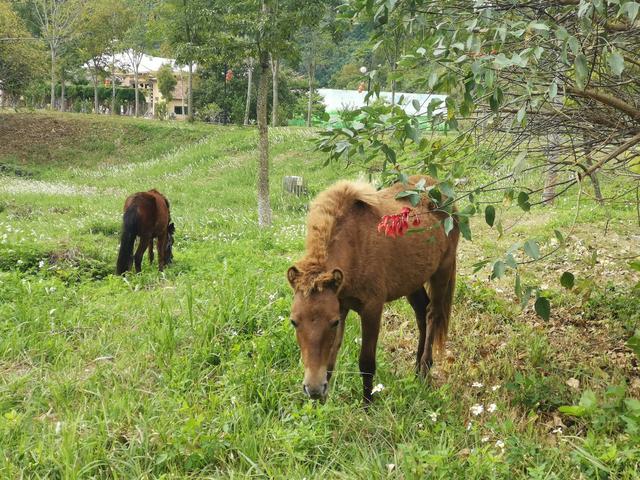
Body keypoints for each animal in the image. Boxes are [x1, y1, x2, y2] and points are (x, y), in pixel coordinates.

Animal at [288, 175, 458, 402]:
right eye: (294, 322)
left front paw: (367, 404)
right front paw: (324, 404)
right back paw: (416, 371)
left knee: (433, 314)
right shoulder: (341, 306)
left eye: (332, 323)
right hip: (412, 281)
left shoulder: (371, 309)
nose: (314, 389)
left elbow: (367, 364)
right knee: (422, 312)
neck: (354, 244)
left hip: (442, 272)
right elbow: (330, 361)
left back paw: (424, 369)